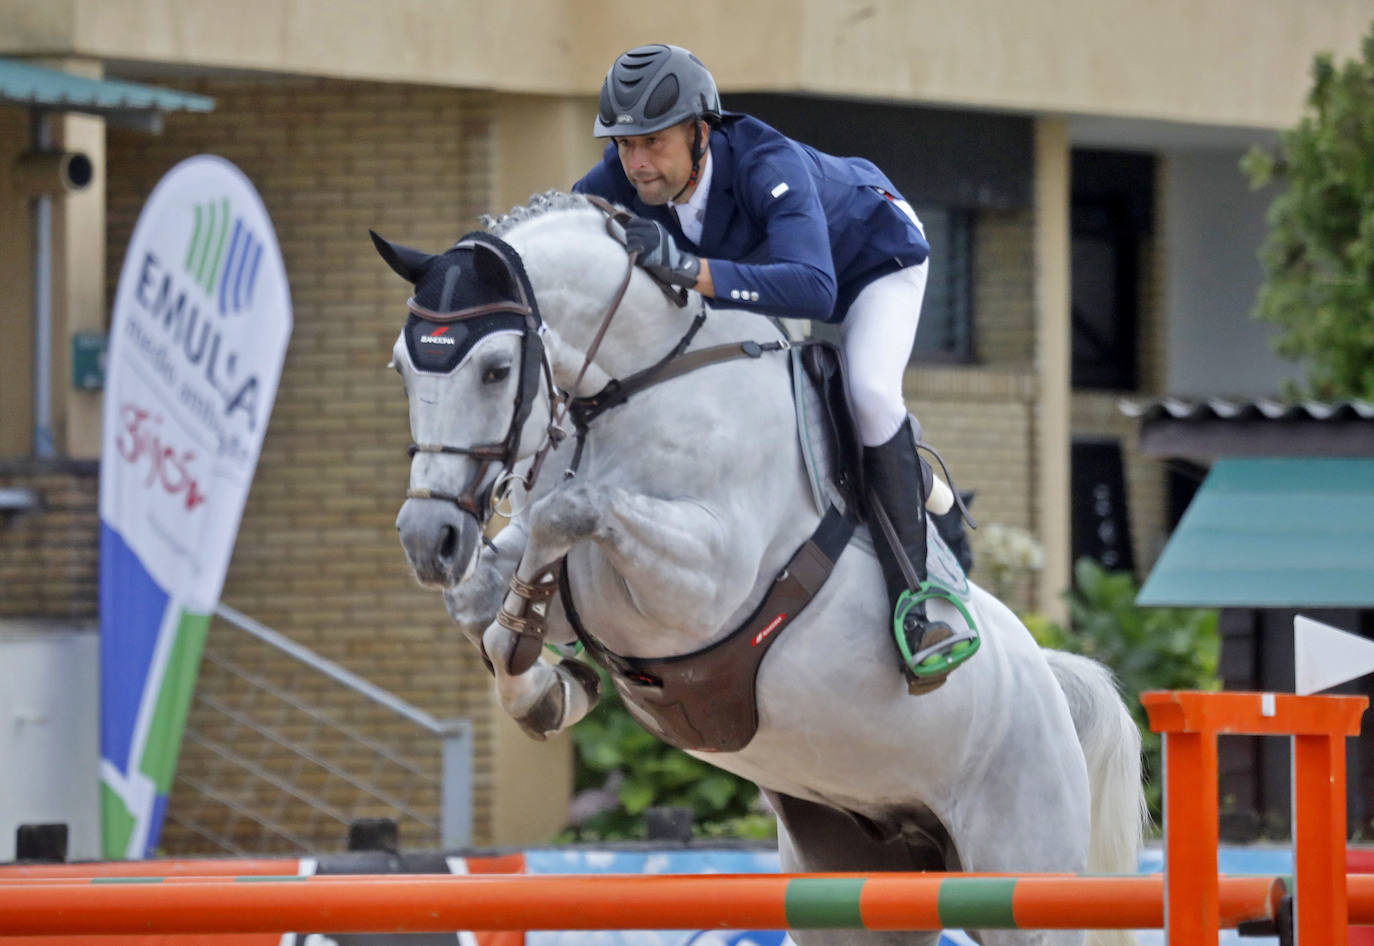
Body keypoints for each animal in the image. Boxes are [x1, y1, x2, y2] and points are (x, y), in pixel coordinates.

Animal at [376, 192, 1148, 944]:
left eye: (496, 370)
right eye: (401, 367)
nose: (428, 540)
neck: (643, 384)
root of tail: (1049, 681)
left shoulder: (701, 581)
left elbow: (568, 512)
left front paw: (541, 671)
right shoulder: (564, 576)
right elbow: (488, 600)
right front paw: (547, 686)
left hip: (1020, 873)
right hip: (858, 878)